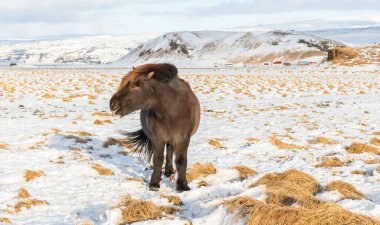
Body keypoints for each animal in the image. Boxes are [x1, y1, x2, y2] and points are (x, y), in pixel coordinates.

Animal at [109, 63, 200, 192]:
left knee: (171, 151)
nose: (112, 104)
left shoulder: (183, 138)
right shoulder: (158, 138)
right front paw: (154, 183)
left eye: (134, 84)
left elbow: (181, 160)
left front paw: (182, 185)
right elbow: (158, 159)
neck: (174, 110)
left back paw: (169, 171)